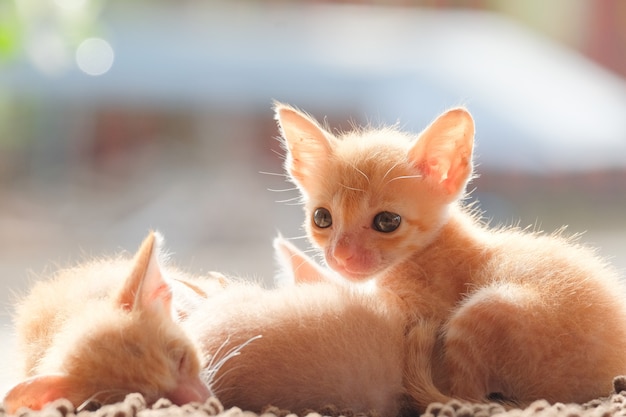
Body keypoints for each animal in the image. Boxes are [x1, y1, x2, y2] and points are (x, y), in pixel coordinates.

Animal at [272, 101, 626, 410]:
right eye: (322, 218)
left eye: (387, 221)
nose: (341, 256)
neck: (428, 252)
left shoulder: (418, 312)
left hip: (488, 307)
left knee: (464, 396)